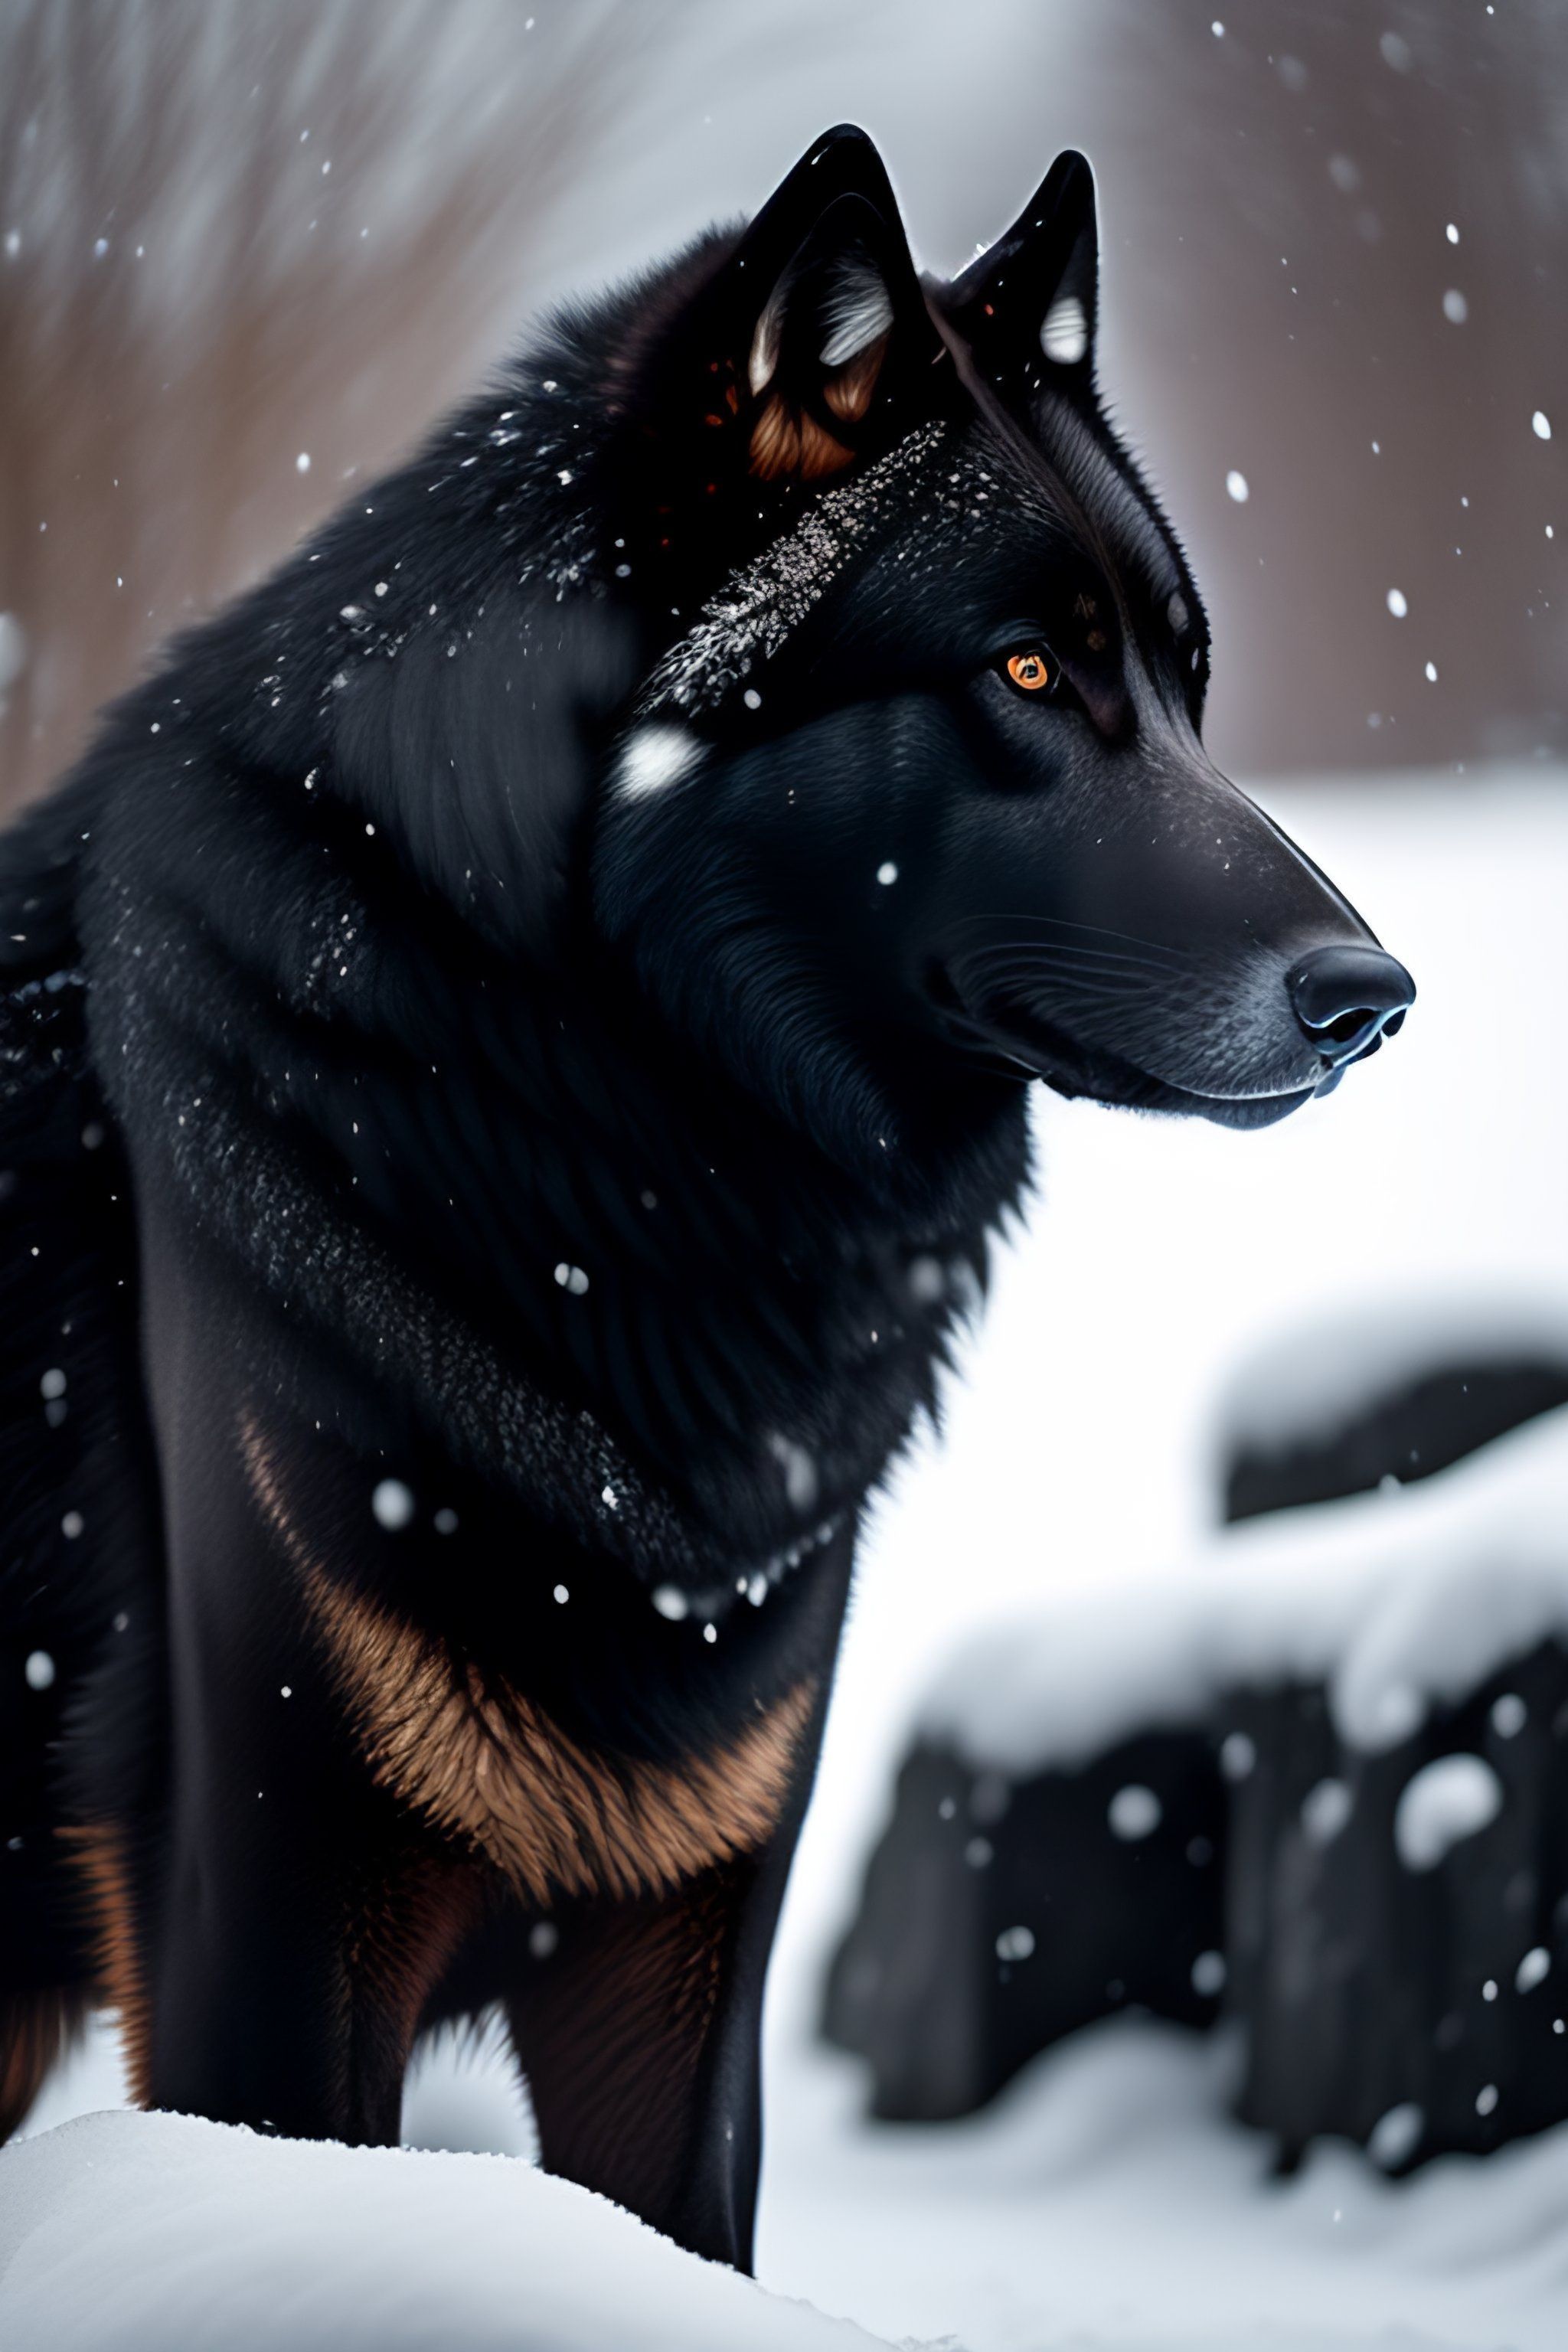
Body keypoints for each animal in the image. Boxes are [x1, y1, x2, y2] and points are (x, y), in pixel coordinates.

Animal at [0, 127, 1411, 2267]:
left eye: (1184, 680)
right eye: (1025, 668)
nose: (1374, 997)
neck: (608, 1156)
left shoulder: (682, 1972)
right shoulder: (256, 1924)